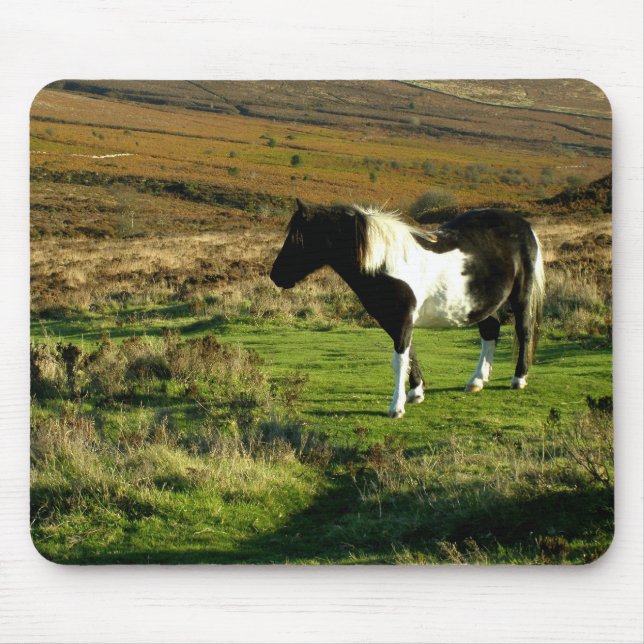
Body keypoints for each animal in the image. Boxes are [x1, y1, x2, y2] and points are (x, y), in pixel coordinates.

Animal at [270, 199, 545, 418]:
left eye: (299, 239)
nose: (275, 276)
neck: (385, 264)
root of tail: (524, 226)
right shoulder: (392, 320)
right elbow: (409, 354)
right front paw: (416, 392)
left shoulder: (402, 319)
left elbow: (399, 360)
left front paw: (397, 407)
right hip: (482, 304)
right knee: (490, 331)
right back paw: (477, 381)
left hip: (521, 295)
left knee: (523, 331)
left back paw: (519, 378)